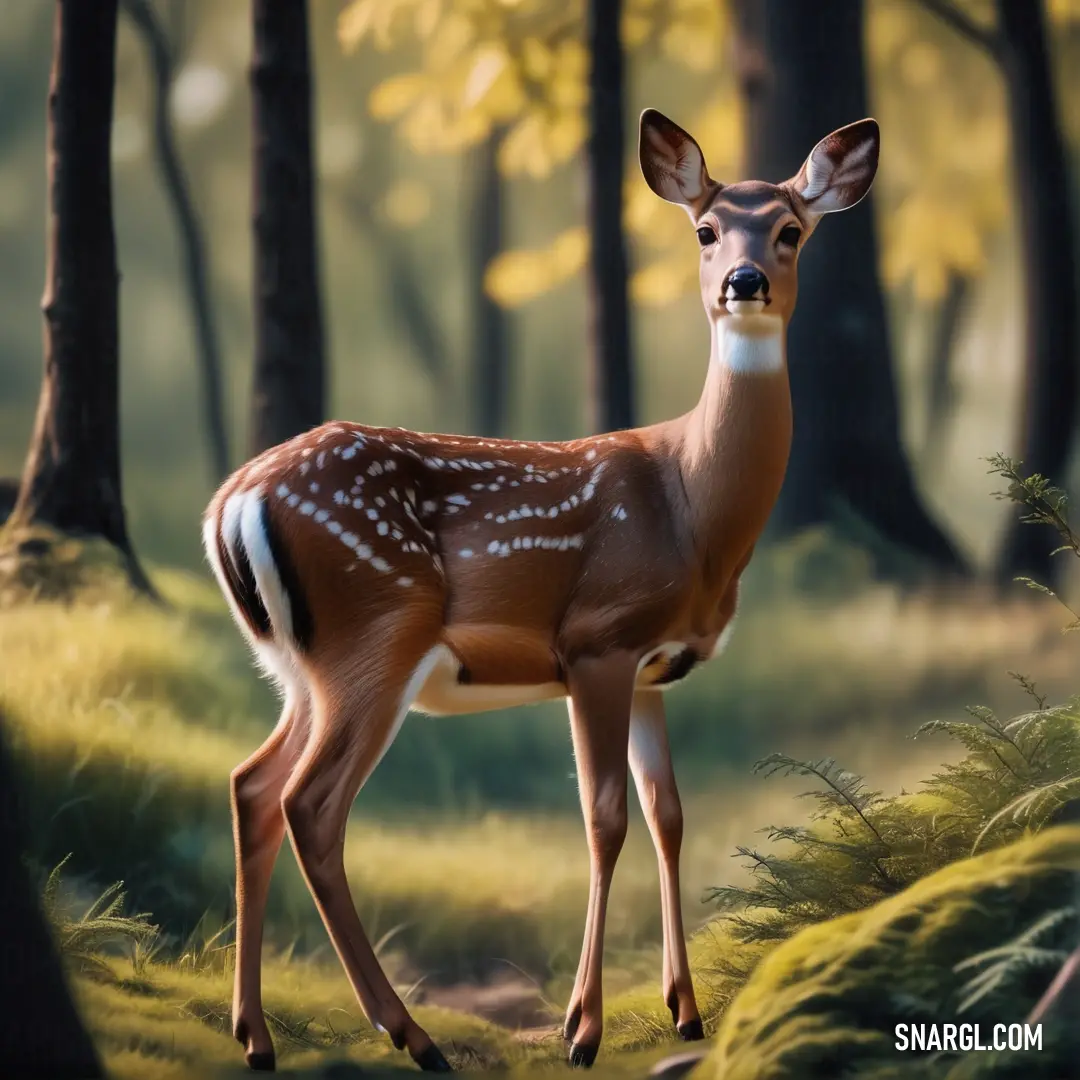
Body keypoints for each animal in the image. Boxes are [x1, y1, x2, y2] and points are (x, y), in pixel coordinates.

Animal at [203, 107, 876, 1071]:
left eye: (790, 231)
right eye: (705, 231)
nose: (743, 282)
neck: (692, 506)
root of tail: (232, 502)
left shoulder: (651, 667)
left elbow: (669, 813)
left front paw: (686, 1012)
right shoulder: (596, 638)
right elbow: (604, 818)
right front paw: (582, 1030)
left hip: (301, 667)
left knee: (253, 785)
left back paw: (256, 1036)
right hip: (373, 635)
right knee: (311, 805)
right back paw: (411, 1034)